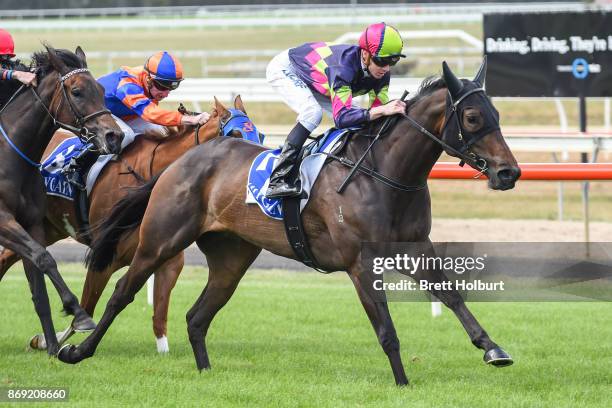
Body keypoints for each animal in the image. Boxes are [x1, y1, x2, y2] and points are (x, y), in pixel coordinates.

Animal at [0, 45, 123, 356]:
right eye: (77, 91)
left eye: (101, 90)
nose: (113, 136)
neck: (10, 157)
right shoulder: (4, 220)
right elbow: (44, 258)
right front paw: (79, 314)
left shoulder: (32, 223)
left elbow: (38, 282)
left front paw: (53, 346)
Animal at [0, 96, 260, 354]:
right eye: (235, 133)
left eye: (259, 134)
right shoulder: (104, 256)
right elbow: (88, 305)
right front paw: (61, 340)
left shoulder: (164, 257)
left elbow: (160, 313)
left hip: (47, 227)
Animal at [59, 59, 520, 384]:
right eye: (473, 118)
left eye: (498, 114)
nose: (509, 173)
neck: (383, 173)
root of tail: (181, 162)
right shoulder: (361, 263)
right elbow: (386, 329)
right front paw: (403, 383)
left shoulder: (415, 248)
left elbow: (452, 294)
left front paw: (493, 349)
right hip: (161, 238)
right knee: (122, 291)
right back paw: (76, 351)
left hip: (231, 257)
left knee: (197, 315)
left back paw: (206, 374)